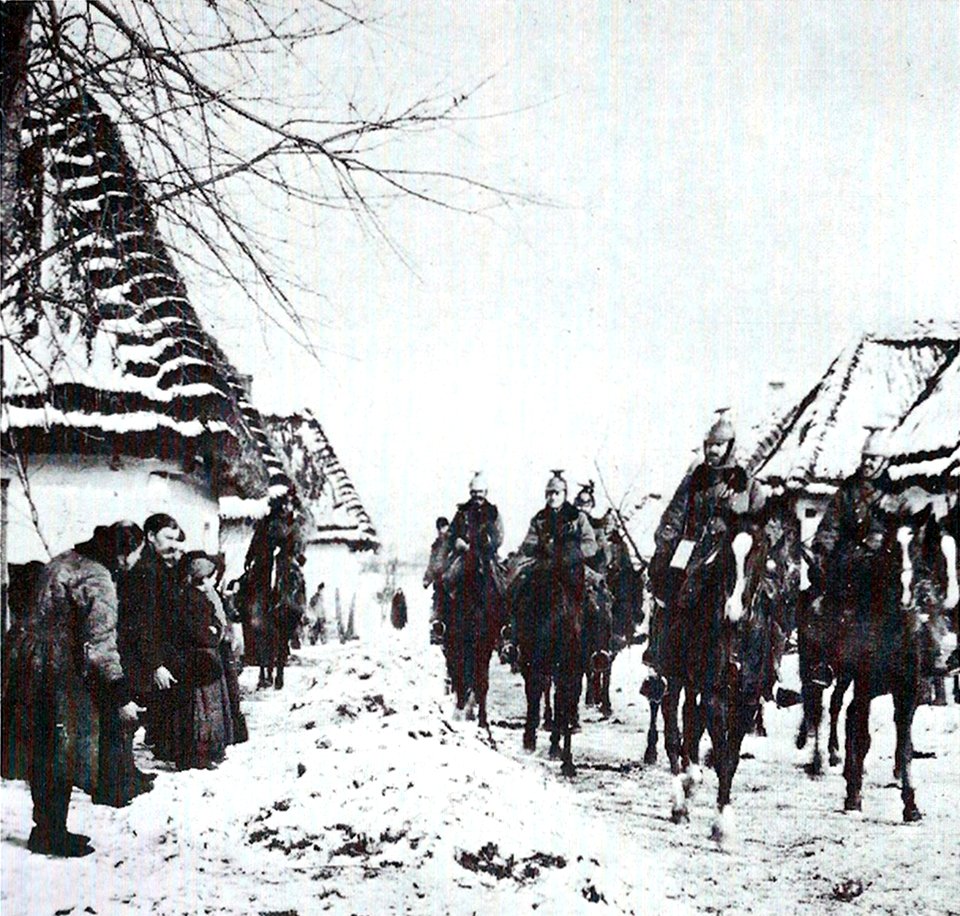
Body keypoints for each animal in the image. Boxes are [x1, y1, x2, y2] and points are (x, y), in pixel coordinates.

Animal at [440, 548, 502, 728]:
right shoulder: (453, 648)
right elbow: (460, 677)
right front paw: (460, 712)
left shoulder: (483, 647)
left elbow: (479, 681)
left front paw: (478, 715)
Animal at [796, 504, 960, 820]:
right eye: (891, 549)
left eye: (919, 550)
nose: (909, 596)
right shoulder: (865, 684)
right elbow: (861, 735)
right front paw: (854, 797)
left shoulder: (907, 690)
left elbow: (905, 743)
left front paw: (910, 804)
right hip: (815, 668)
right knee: (819, 709)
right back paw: (820, 761)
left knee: (839, 708)